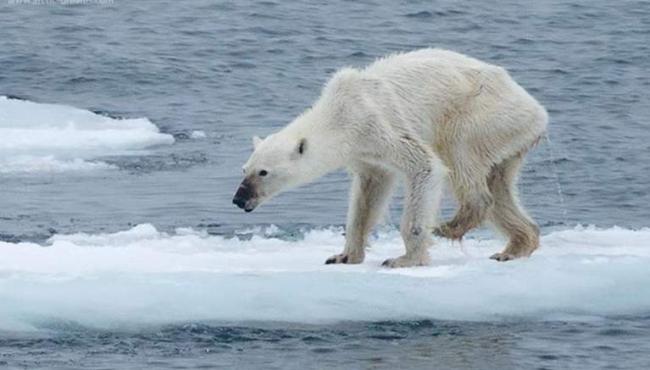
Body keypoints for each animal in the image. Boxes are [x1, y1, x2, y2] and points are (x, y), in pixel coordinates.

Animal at [233, 49, 548, 268]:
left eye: (263, 172)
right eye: (244, 168)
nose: (239, 199)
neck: (339, 113)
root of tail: (538, 111)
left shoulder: (377, 124)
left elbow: (425, 166)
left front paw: (404, 259)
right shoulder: (364, 153)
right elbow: (368, 194)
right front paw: (343, 255)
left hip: (483, 115)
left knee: (460, 154)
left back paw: (451, 225)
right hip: (508, 137)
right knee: (499, 185)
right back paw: (515, 247)